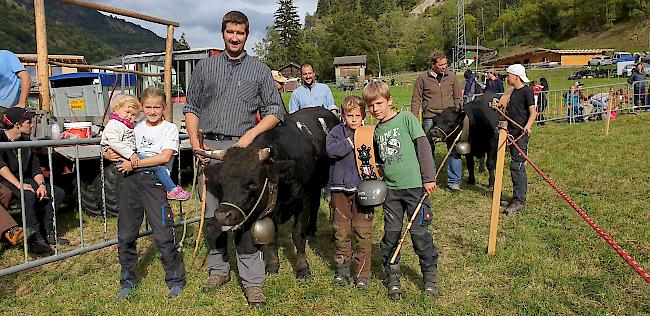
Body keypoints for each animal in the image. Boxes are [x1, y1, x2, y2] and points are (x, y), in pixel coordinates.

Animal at [201, 107, 340, 278]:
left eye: (252, 184)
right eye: (222, 182)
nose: (222, 215)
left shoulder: (303, 200)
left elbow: (298, 235)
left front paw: (303, 268)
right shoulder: (272, 207)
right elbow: (273, 238)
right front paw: (273, 266)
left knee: (315, 205)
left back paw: (311, 229)